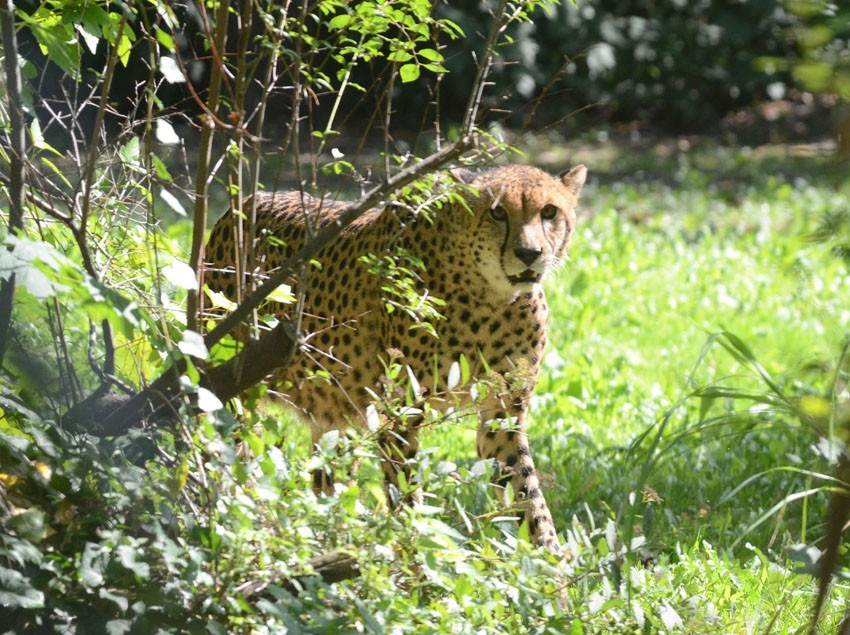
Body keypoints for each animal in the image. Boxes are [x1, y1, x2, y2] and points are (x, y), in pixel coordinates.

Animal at [205, 164, 588, 552]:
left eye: (549, 212)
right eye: (497, 213)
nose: (529, 253)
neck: (492, 296)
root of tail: (241, 206)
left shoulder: (502, 414)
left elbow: (528, 495)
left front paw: (551, 562)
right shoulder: (401, 414)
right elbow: (405, 495)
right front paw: (415, 558)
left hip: (337, 415)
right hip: (232, 391)